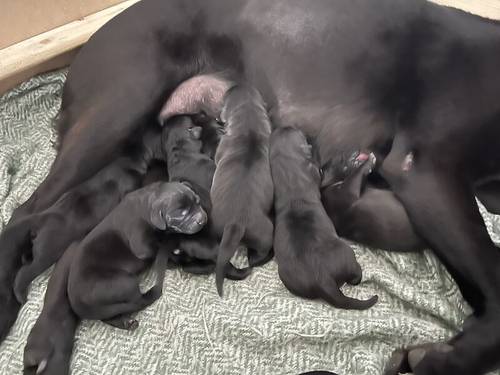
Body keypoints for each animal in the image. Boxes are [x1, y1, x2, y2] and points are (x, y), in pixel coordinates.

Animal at [67, 182, 206, 328]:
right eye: (181, 214)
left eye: (198, 201)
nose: (202, 219)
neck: (147, 204)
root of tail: (78, 305)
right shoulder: (142, 247)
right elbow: (159, 246)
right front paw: (175, 257)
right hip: (123, 282)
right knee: (137, 300)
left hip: (106, 306)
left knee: (109, 316)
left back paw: (127, 323)